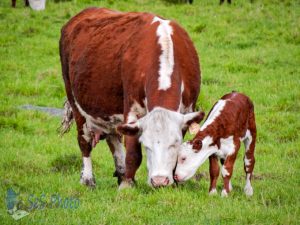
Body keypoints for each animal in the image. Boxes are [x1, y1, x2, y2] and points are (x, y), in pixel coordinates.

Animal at [59, 7, 203, 188]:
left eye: (174, 143)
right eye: (146, 145)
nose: (159, 181)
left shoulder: (187, 110)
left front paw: (174, 183)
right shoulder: (133, 109)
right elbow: (133, 152)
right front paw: (127, 185)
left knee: (113, 138)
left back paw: (121, 171)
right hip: (74, 100)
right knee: (84, 141)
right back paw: (88, 179)